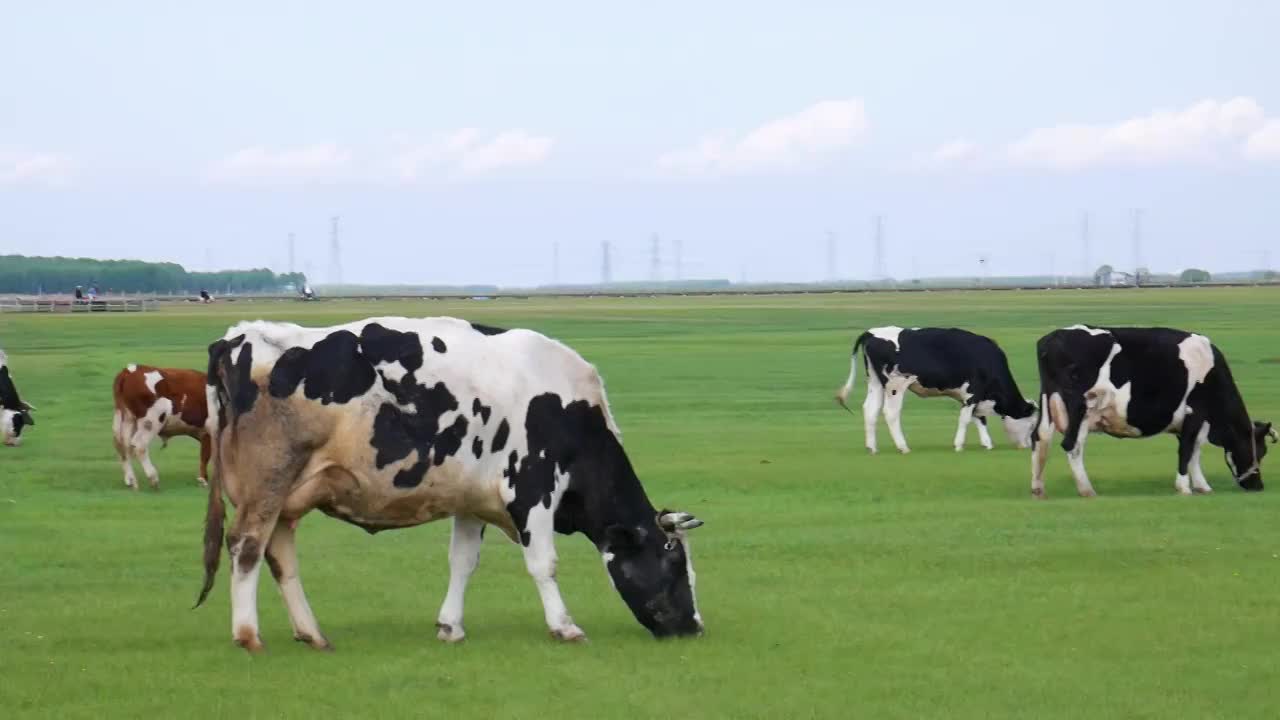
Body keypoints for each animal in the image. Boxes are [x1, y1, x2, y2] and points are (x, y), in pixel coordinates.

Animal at [194, 313, 706, 650]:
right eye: (674, 560)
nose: (694, 627)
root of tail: (238, 336)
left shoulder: (470, 499)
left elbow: (462, 563)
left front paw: (450, 626)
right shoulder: (532, 488)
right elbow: (544, 563)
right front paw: (564, 626)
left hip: (289, 492)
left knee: (279, 555)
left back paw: (312, 633)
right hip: (268, 481)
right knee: (247, 546)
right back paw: (248, 636)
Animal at [839, 324, 1039, 448]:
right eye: (1031, 426)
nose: (1028, 446)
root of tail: (871, 333)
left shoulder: (968, 397)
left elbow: (978, 418)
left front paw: (987, 444)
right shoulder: (973, 393)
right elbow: (966, 419)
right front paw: (958, 445)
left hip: (874, 382)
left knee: (870, 409)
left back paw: (872, 448)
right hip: (896, 385)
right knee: (890, 413)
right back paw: (903, 447)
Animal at [1029, 324, 1280, 497]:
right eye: (1261, 451)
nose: (1258, 485)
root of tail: (1052, 338)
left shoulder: (1191, 422)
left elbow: (1194, 451)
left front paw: (1202, 485)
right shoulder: (1194, 413)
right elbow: (1187, 450)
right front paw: (1185, 487)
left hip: (1048, 402)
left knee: (1039, 439)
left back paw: (1038, 489)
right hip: (1081, 408)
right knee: (1072, 445)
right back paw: (1087, 490)